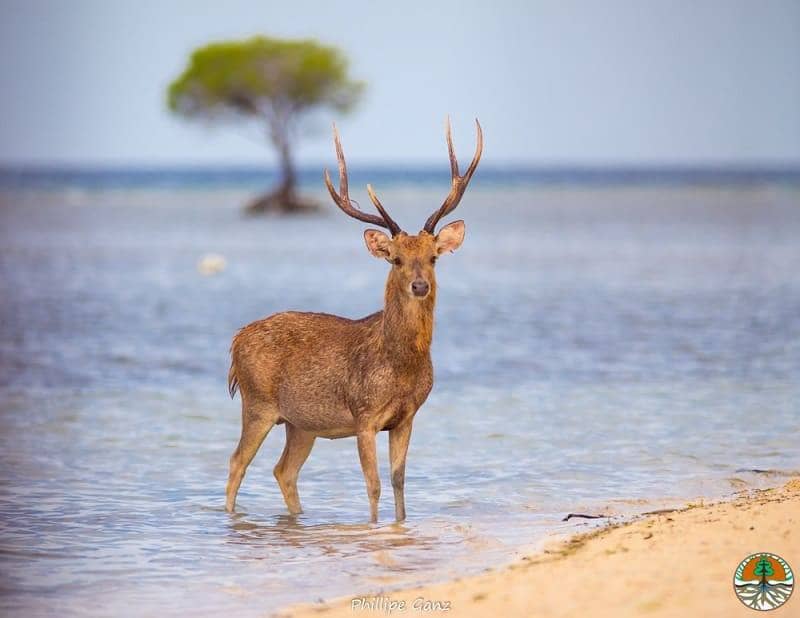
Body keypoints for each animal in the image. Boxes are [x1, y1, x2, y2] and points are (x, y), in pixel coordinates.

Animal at [225, 116, 484, 520]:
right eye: (395, 258)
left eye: (433, 257)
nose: (420, 285)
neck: (400, 368)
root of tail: (236, 339)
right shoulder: (364, 415)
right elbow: (373, 485)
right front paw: (374, 527)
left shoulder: (407, 417)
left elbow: (398, 481)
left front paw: (399, 525)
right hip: (257, 403)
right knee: (237, 462)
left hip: (301, 423)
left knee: (283, 470)